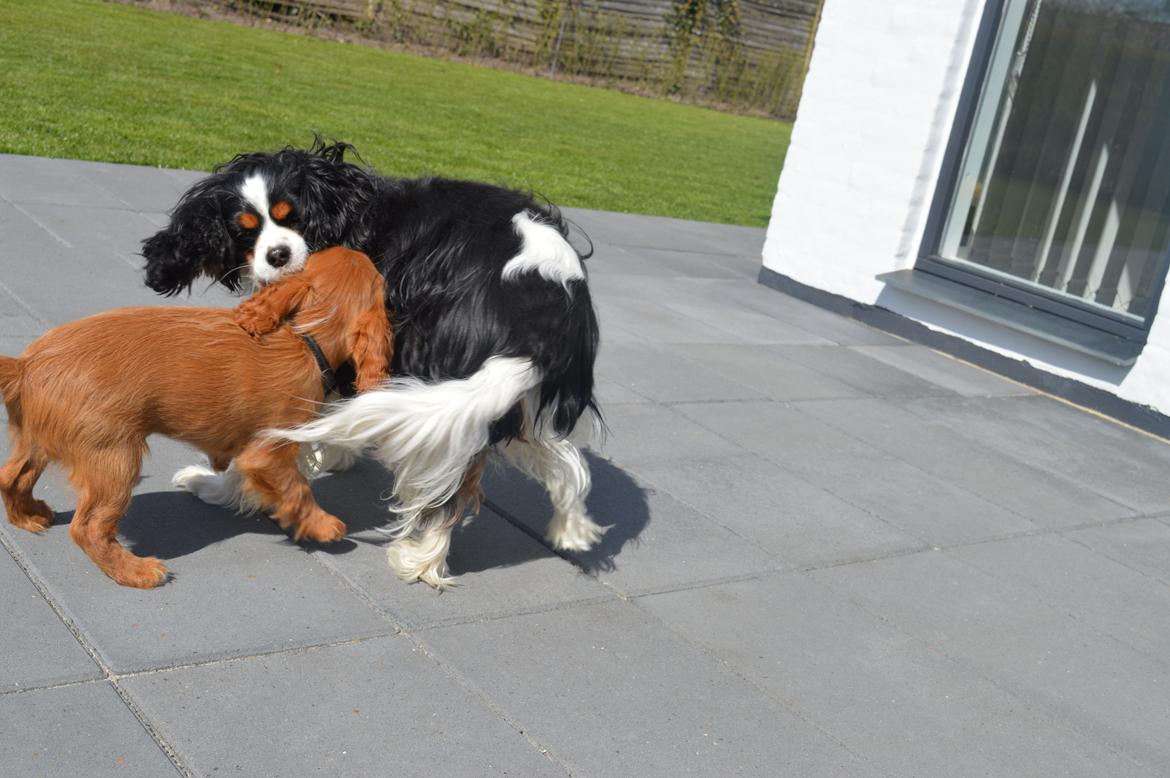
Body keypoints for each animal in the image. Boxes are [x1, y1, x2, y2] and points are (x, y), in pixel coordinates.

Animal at [0, 245, 393, 584]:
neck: (303, 337)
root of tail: (26, 365)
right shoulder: (269, 451)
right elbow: (296, 488)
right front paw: (324, 526)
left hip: (39, 439)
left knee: (11, 477)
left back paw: (29, 517)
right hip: (113, 456)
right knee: (88, 527)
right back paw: (136, 572)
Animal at [141, 140, 608, 589]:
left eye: (295, 219)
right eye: (245, 230)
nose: (277, 255)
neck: (346, 205)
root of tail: (541, 304)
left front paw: (220, 486)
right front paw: (334, 452)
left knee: (452, 484)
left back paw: (420, 561)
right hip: (517, 396)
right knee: (558, 457)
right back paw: (571, 526)